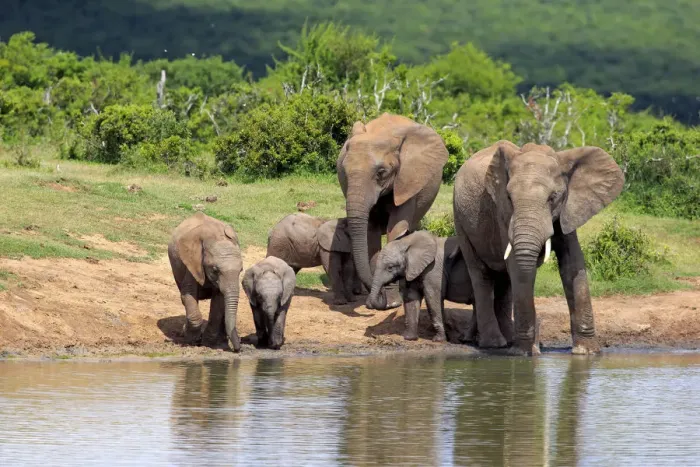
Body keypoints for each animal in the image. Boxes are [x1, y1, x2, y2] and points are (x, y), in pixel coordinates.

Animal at [167, 212, 243, 351]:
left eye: (241, 270)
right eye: (215, 270)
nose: (238, 348)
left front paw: (208, 343)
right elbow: (188, 294)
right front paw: (192, 342)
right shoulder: (191, 263)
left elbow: (219, 301)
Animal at [337, 112, 449, 310]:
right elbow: (370, 232)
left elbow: (397, 228)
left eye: (381, 172)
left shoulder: (408, 180)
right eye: (344, 171)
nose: (378, 295)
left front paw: (392, 302)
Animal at [453, 140, 624, 355]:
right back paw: (494, 344)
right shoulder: (502, 213)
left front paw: (587, 352)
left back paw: (507, 340)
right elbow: (517, 267)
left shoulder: (569, 209)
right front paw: (524, 353)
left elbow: (572, 263)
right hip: (460, 221)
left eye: (553, 197)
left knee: (504, 280)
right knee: (481, 275)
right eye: (509, 197)